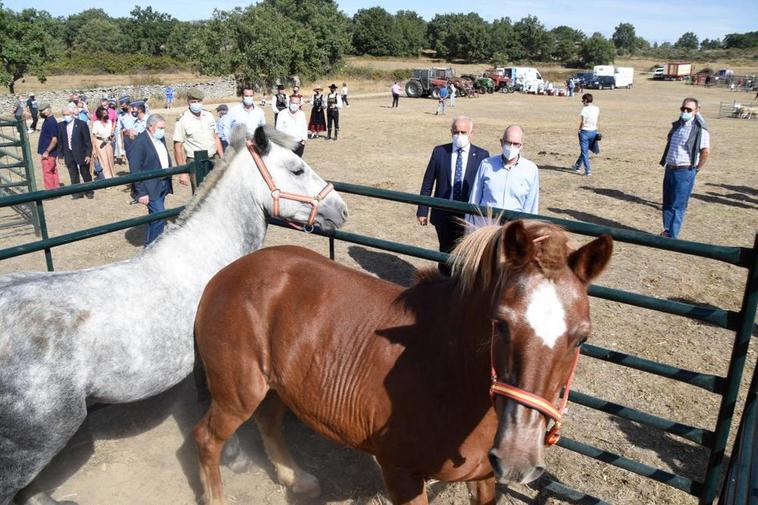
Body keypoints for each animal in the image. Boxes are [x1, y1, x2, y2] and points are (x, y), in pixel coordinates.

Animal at [193, 219, 616, 502]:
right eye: (501, 323)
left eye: (582, 338)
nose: (517, 458)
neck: (450, 373)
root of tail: (225, 274)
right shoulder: (401, 476)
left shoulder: (484, 477)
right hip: (238, 393)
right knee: (207, 438)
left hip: (277, 387)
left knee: (268, 422)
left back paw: (295, 478)